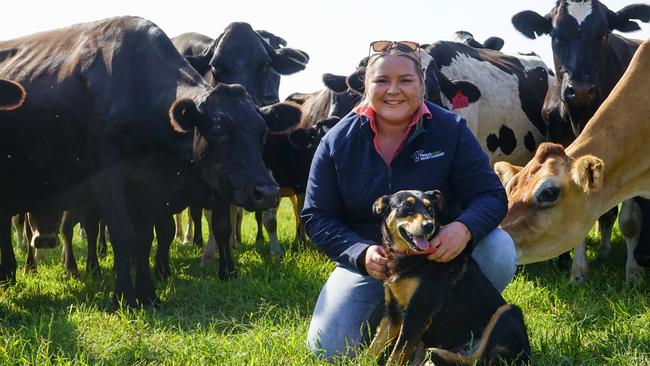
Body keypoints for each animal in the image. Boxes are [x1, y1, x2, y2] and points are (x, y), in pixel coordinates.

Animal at [0, 15, 298, 306]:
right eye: (217, 130)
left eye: (262, 132)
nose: (267, 192)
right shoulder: (107, 175)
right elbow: (123, 233)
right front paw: (124, 296)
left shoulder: (146, 181)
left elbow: (146, 237)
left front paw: (148, 294)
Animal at [368, 190, 528, 364]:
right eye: (406, 206)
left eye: (430, 208)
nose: (428, 226)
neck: (412, 257)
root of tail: (525, 358)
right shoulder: (393, 313)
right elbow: (374, 346)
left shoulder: (418, 314)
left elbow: (397, 355)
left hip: (508, 312)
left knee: (478, 359)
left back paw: (437, 352)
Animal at [512, 0, 648, 284]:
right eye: (555, 37)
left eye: (604, 35)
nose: (582, 90)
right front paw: (577, 271)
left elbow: (629, 221)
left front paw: (632, 273)